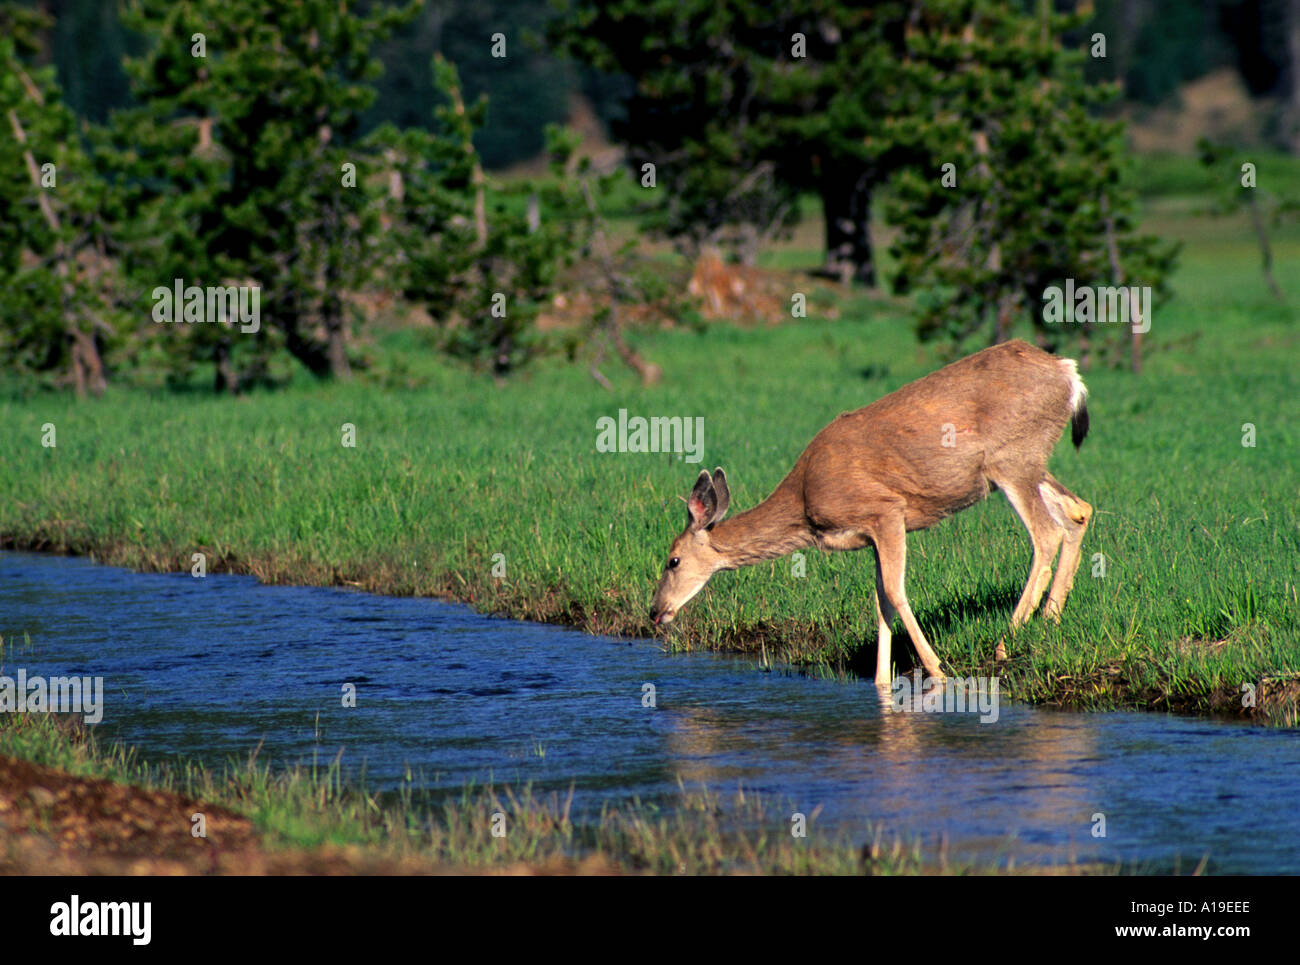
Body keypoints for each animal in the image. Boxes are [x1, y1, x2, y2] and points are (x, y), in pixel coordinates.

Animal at [648, 339, 1093, 688]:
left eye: (673, 560)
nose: (654, 611)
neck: (805, 506)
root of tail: (1068, 374)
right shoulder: (870, 536)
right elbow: (880, 599)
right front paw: (881, 682)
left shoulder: (885, 510)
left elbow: (895, 592)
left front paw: (937, 669)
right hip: (1031, 461)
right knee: (1078, 511)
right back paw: (1049, 619)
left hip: (1011, 458)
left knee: (1046, 532)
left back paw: (1005, 642)